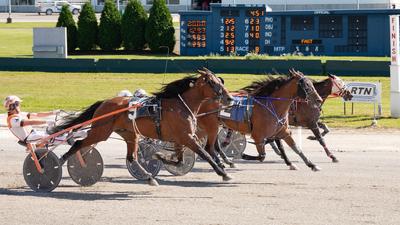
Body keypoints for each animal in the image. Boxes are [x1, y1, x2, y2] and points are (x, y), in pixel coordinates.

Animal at [51, 69, 236, 185]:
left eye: (220, 80)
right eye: (212, 82)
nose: (230, 98)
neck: (181, 106)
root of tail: (104, 103)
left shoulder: (180, 139)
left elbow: (179, 161)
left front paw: (160, 157)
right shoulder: (187, 138)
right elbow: (206, 154)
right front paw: (223, 173)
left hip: (130, 134)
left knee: (132, 157)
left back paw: (149, 177)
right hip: (100, 132)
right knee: (78, 144)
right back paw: (60, 161)